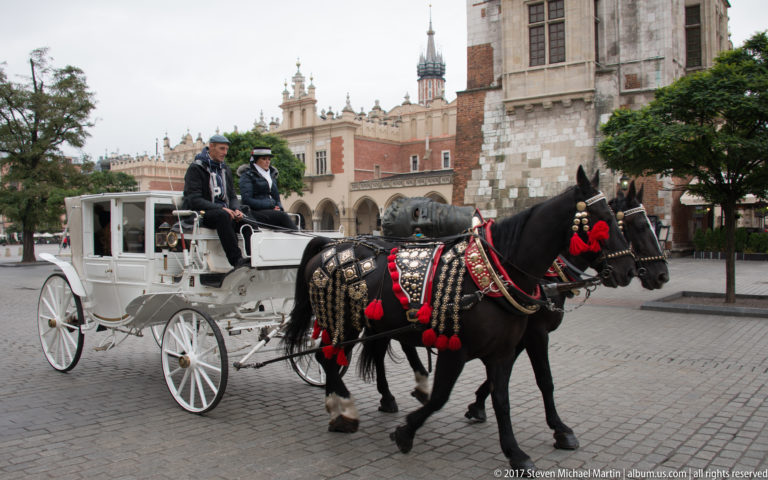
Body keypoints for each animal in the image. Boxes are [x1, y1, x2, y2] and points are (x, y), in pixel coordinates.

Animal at [283, 166, 636, 472]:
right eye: (604, 219)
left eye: (619, 219)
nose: (630, 270)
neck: (491, 276)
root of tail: (329, 244)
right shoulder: (458, 348)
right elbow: (442, 397)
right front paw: (406, 432)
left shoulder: (502, 351)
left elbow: (502, 399)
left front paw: (515, 451)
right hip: (341, 321)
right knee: (327, 358)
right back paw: (344, 410)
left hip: (367, 322)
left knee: (343, 357)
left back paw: (348, 406)